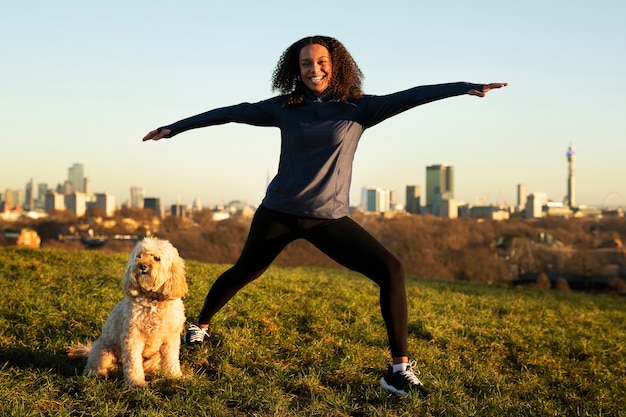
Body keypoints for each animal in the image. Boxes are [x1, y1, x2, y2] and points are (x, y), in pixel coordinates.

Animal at [68, 236, 186, 386]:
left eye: (157, 258)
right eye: (139, 256)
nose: (142, 266)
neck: (153, 300)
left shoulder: (171, 338)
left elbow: (171, 359)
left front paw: (174, 376)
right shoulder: (133, 337)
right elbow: (133, 363)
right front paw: (136, 382)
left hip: (154, 357)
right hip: (104, 350)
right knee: (93, 366)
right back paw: (97, 373)